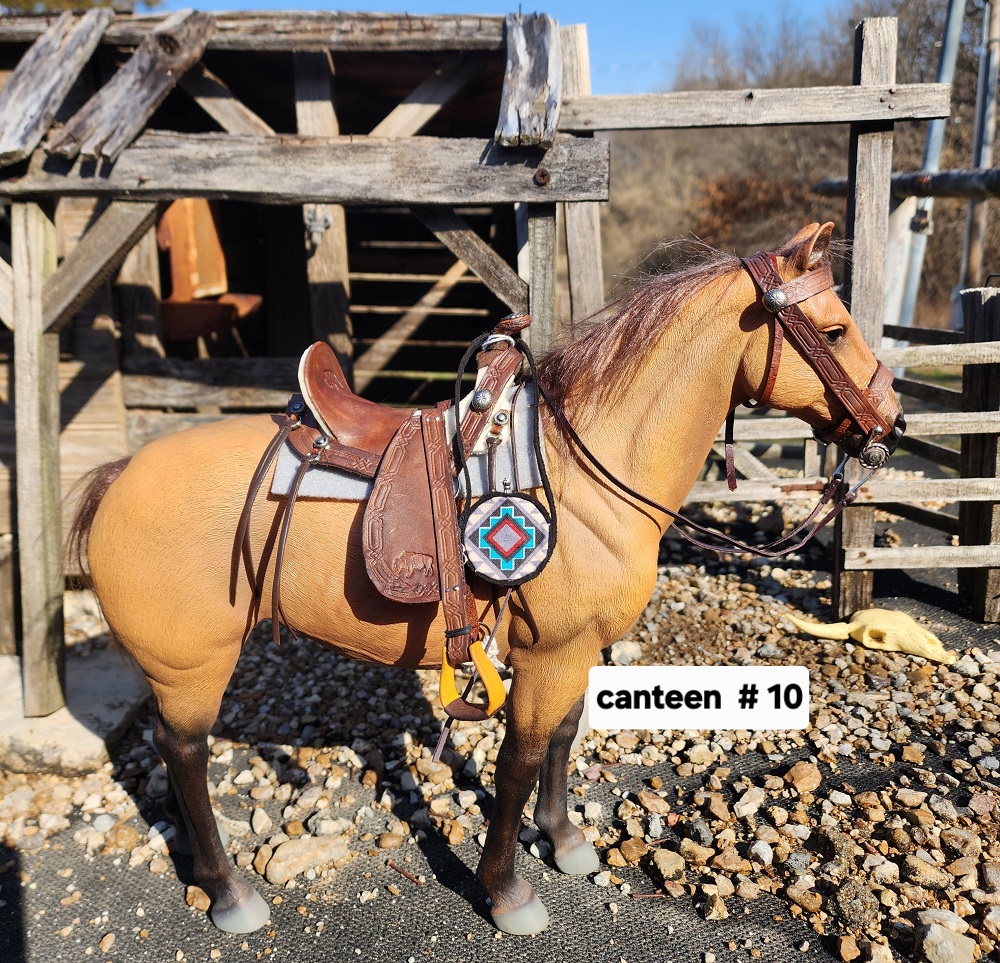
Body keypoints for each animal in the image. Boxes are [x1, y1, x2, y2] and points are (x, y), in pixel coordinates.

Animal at [69, 221, 904, 936]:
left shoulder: (573, 652)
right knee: (183, 753)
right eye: (833, 330)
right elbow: (518, 763)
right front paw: (506, 890)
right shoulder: (550, 655)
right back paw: (229, 890)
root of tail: (117, 474)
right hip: (191, 667)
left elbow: (564, 735)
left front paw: (563, 839)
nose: (892, 419)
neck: (586, 473)